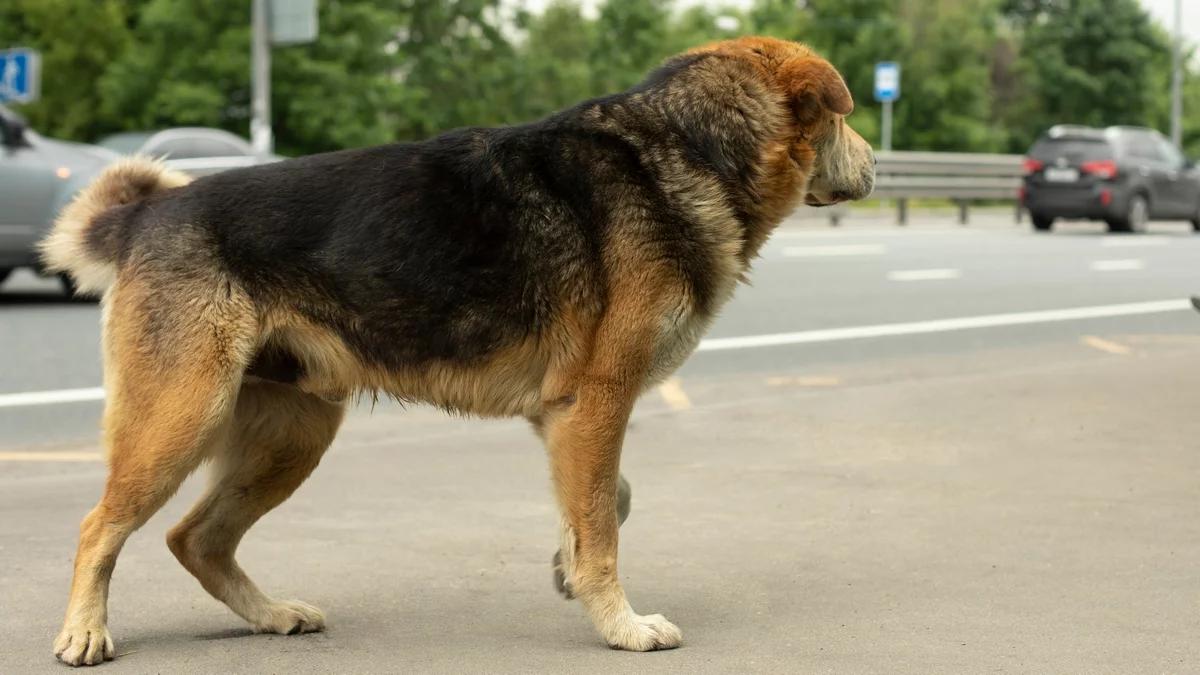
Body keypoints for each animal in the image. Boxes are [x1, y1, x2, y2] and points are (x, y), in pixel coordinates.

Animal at [37, 35, 873, 662]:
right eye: (847, 116)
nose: (874, 164)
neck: (685, 148)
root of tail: (145, 215)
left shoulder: (568, 415)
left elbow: (606, 503)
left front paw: (567, 569)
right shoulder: (598, 402)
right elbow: (603, 522)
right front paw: (621, 623)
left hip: (290, 436)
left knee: (196, 538)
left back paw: (270, 614)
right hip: (182, 419)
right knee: (98, 526)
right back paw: (85, 630)